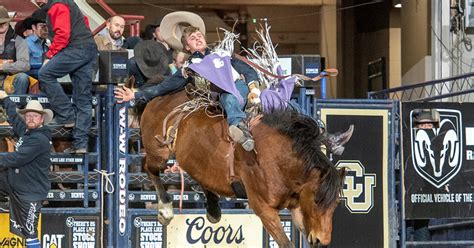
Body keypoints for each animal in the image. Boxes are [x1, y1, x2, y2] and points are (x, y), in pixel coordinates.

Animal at [141, 89, 344, 248]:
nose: (322, 241)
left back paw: (213, 209)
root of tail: (159, 98)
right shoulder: (263, 208)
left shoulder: (298, 207)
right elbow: (286, 243)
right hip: (158, 154)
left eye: (336, 204)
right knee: (150, 169)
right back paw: (166, 210)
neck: (279, 159)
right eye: (317, 201)